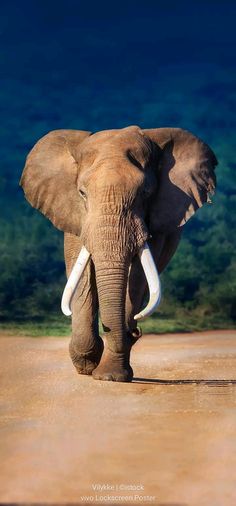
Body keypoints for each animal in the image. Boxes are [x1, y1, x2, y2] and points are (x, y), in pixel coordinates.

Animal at [20, 126, 218, 384]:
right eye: (82, 193)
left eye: (146, 193)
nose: (136, 332)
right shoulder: (73, 214)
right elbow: (82, 273)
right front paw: (87, 364)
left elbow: (137, 278)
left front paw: (110, 376)